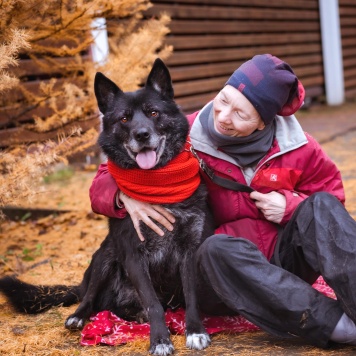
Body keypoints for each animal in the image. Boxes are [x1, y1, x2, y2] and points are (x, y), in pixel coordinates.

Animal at [0, 59, 213, 356]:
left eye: (153, 112)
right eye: (124, 119)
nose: (142, 134)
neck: (159, 184)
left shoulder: (189, 251)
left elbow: (191, 296)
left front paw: (195, 331)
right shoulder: (133, 255)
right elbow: (153, 304)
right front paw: (160, 340)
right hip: (106, 256)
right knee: (90, 297)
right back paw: (79, 315)